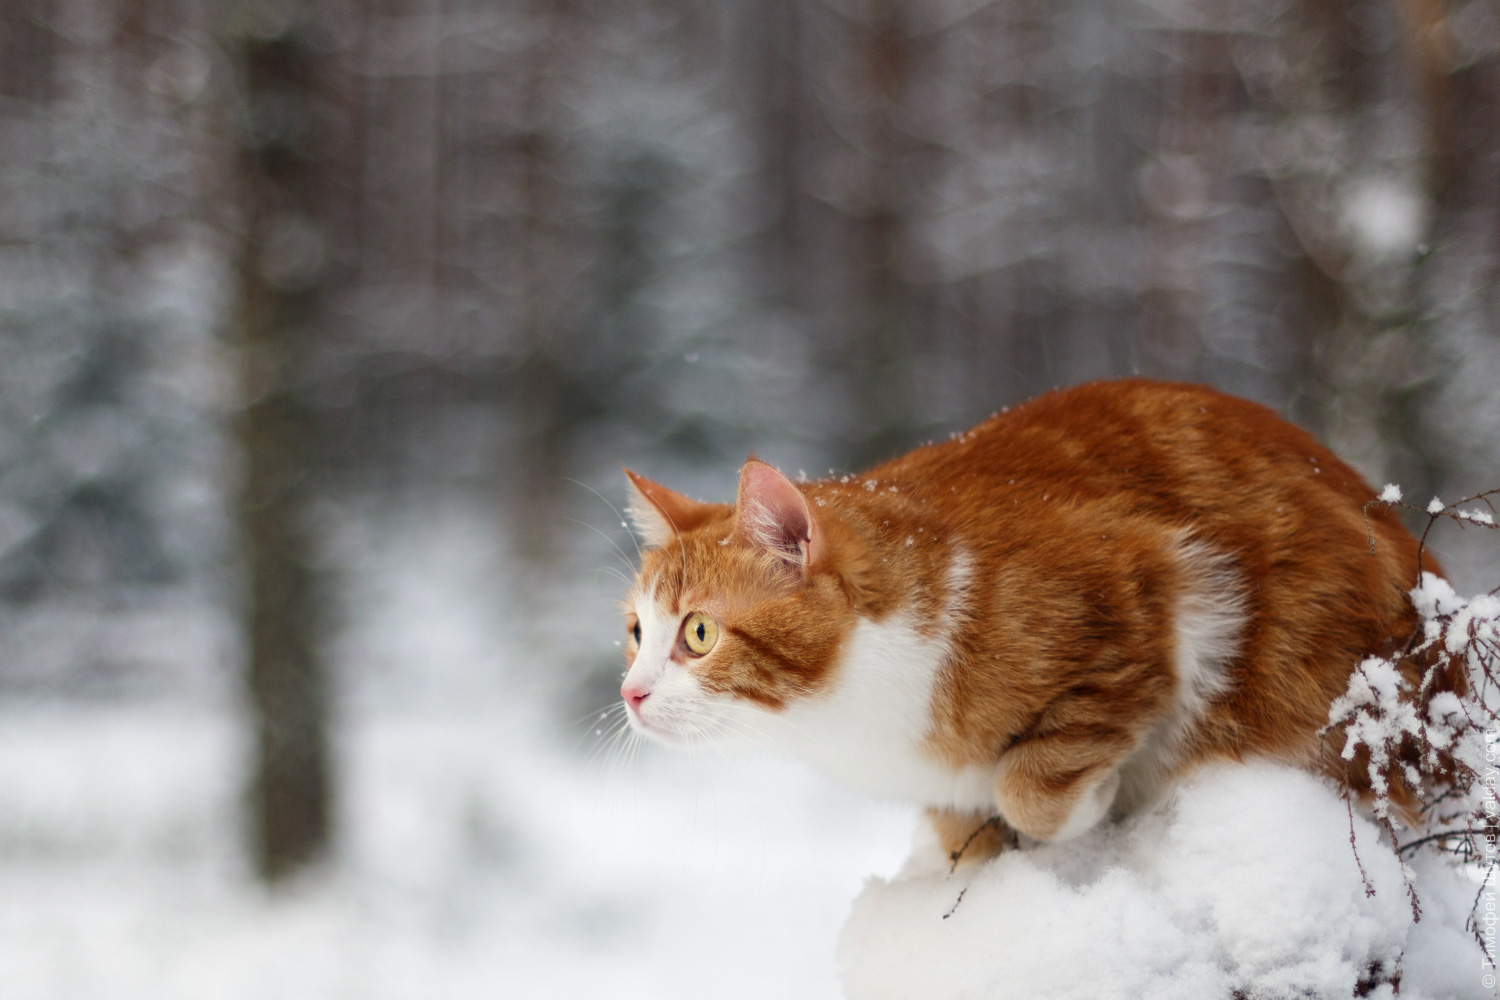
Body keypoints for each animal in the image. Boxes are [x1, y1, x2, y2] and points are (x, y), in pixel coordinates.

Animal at [615, 379, 1446, 863]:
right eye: (636, 632)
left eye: (697, 633)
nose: (630, 692)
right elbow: (967, 829)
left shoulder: (1155, 589)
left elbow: (1033, 785)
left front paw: (1093, 805)